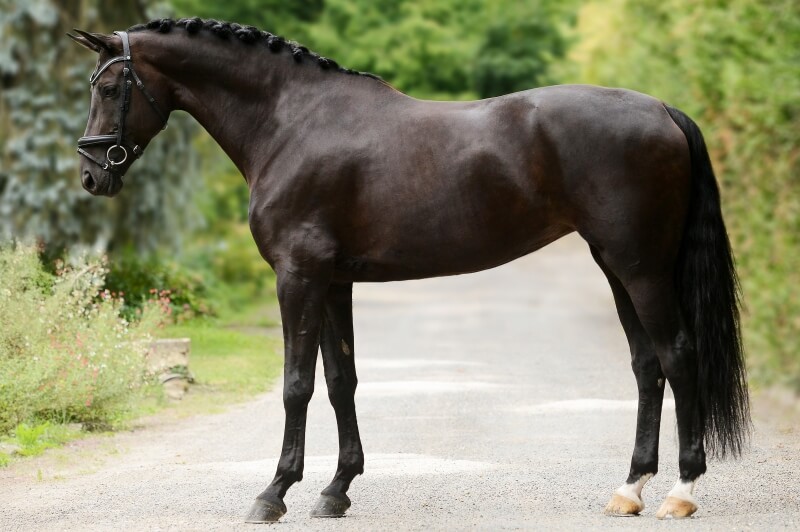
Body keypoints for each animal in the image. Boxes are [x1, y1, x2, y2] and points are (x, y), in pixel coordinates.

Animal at [68, 18, 749, 522]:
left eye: (108, 88)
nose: (92, 176)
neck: (291, 123)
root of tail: (662, 110)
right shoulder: (333, 281)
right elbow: (340, 381)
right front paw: (336, 490)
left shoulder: (298, 276)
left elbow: (296, 385)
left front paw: (274, 492)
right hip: (615, 266)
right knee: (647, 366)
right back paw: (629, 489)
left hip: (642, 268)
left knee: (678, 356)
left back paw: (680, 492)